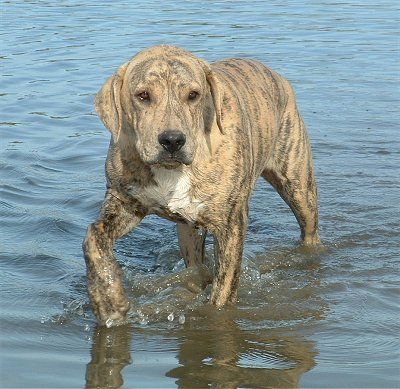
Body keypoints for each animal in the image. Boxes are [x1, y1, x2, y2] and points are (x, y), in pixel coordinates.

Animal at [83, 44, 320, 324]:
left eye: (193, 95)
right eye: (143, 95)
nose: (172, 140)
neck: (173, 172)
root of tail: (274, 74)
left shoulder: (231, 223)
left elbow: (224, 289)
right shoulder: (124, 201)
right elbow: (93, 236)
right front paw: (109, 303)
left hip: (297, 183)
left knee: (309, 227)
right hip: (188, 232)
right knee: (195, 261)